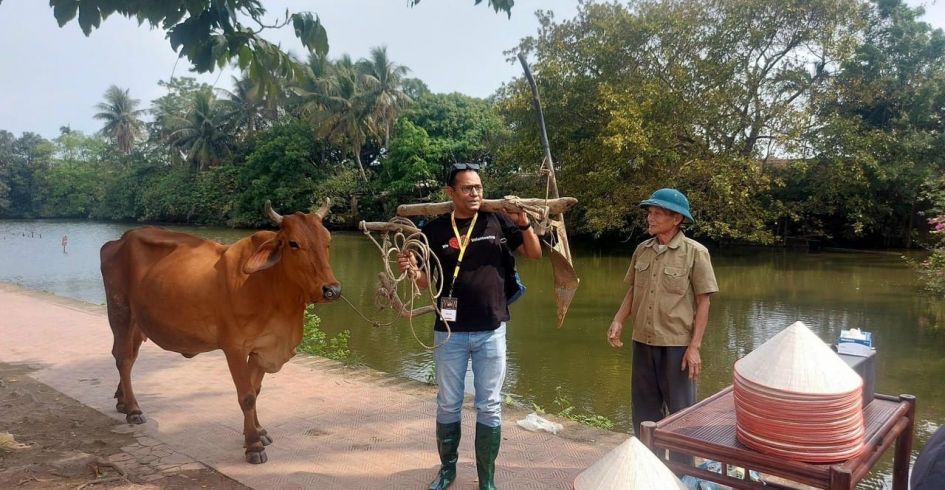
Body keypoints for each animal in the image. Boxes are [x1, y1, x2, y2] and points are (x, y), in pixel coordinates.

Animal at [99, 199, 342, 464]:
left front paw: (258, 431)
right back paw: (133, 410)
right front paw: (253, 445)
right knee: (123, 358)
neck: (271, 287)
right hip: (120, 310)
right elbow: (246, 395)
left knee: (128, 356)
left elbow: (256, 390)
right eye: (294, 243)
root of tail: (120, 240)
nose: (332, 290)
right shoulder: (234, 347)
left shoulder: (261, 348)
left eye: (327, 241)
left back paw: (122, 401)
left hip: (137, 322)